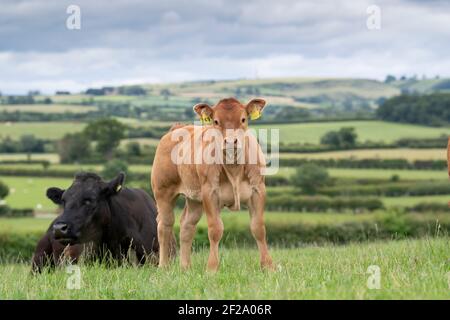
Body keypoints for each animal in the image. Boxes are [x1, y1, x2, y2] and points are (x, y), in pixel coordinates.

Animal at [151, 98, 272, 272]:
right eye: (216, 121)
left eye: (243, 119)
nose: (230, 142)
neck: (234, 167)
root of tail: (178, 128)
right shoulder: (210, 193)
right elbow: (215, 229)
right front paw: (212, 268)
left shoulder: (258, 190)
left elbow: (258, 228)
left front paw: (268, 266)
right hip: (163, 192)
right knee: (164, 225)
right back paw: (163, 266)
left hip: (194, 199)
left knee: (187, 225)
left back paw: (185, 267)